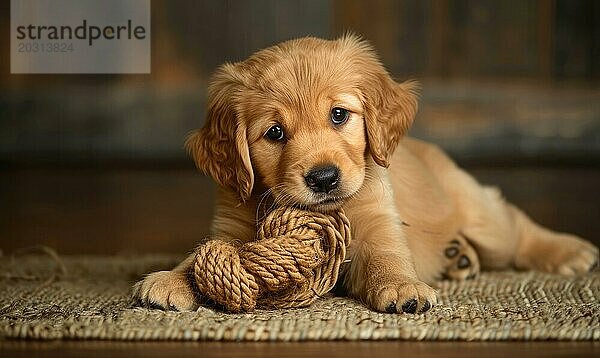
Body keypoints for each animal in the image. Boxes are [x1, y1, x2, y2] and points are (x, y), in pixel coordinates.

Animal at [134, 33, 596, 314]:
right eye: (275, 132)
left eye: (339, 115)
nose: (323, 178)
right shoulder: (230, 226)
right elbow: (203, 256)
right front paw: (171, 279)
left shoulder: (378, 221)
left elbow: (387, 258)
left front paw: (403, 288)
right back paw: (457, 257)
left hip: (481, 213)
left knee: (513, 225)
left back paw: (569, 251)